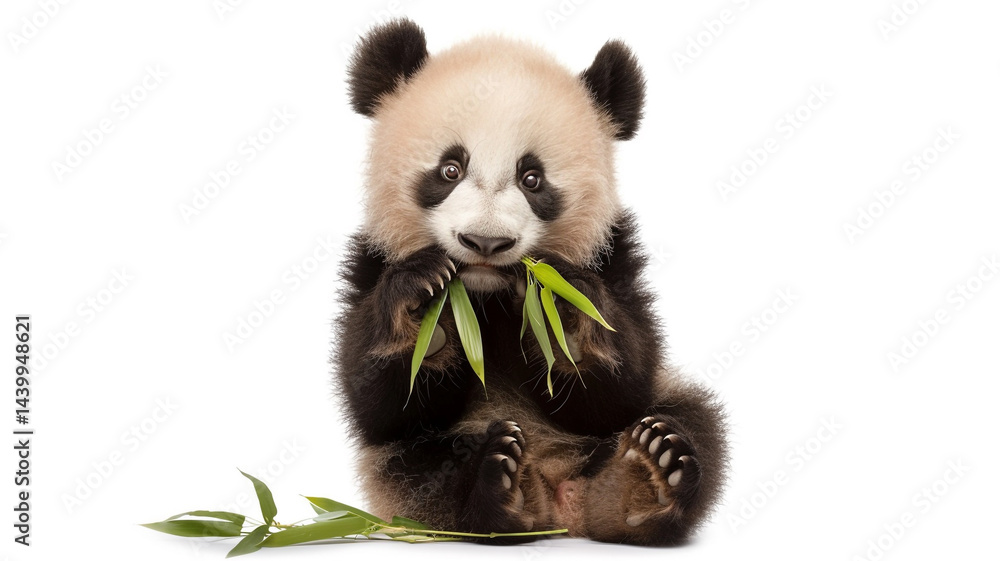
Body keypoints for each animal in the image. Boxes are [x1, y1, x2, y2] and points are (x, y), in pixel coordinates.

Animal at [335, 19, 728, 546]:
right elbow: (379, 405)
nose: (485, 241)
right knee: (417, 464)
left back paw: (642, 482)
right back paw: (501, 487)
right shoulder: (372, 257)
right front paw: (423, 311)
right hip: (404, 477)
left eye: (532, 178)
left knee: (690, 421)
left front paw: (564, 313)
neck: (487, 296)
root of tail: (561, 501)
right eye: (450, 169)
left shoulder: (614, 255)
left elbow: (622, 389)